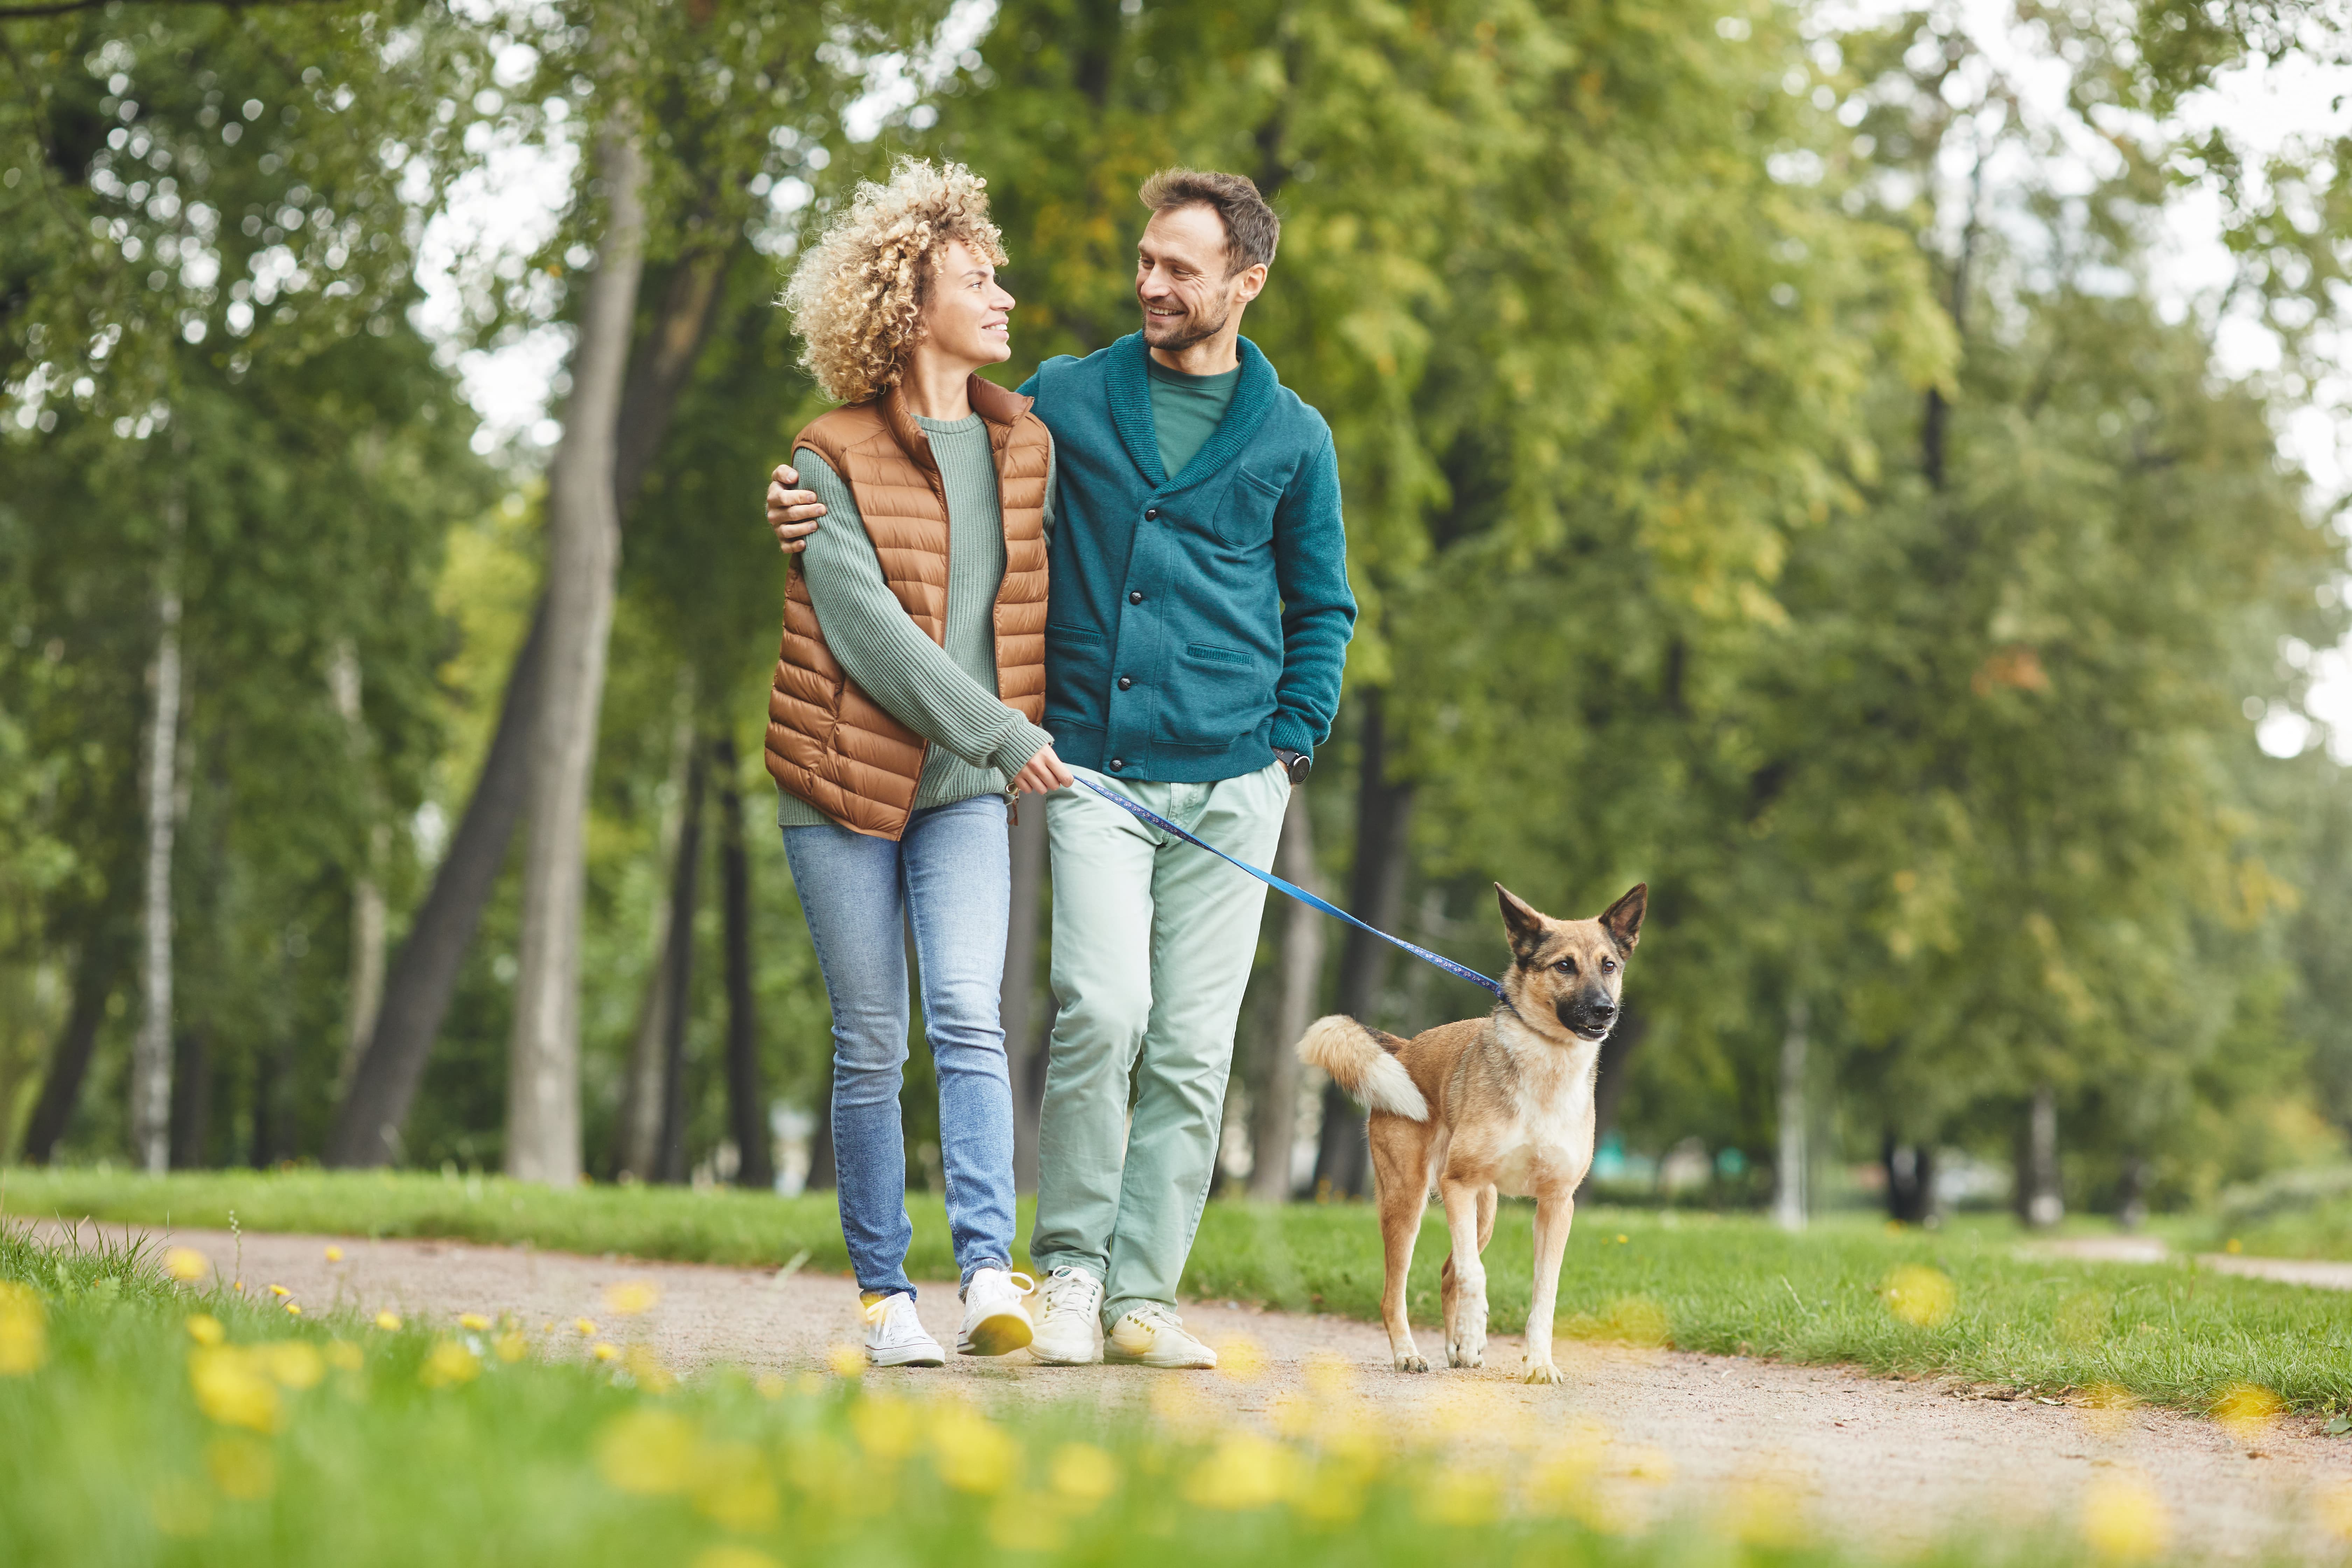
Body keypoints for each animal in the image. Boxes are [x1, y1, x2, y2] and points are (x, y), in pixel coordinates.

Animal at [1298, 884, 1646, 1382]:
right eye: (1564, 965)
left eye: (1610, 965)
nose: (1606, 1010)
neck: (1547, 1070)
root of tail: (1405, 1049)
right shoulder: (1458, 1185)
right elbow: (1474, 1274)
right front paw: (1475, 1326)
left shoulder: (1557, 1205)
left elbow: (1543, 1293)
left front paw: (1539, 1361)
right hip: (1409, 1201)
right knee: (1399, 1292)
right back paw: (1413, 1353)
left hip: (1486, 1211)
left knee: (1448, 1273)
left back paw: (1459, 1348)